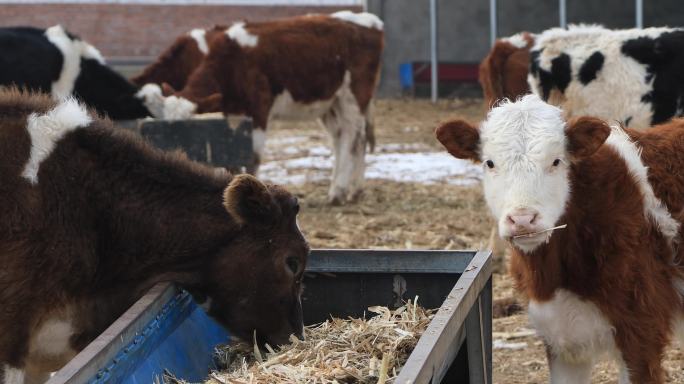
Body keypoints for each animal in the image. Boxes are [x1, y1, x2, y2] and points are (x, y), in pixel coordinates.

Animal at [158, 11, 388, 204]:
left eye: (189, 124)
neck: (233, 60)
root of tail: (370, 20)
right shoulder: (233, 112)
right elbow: (233, 158)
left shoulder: (259, 107)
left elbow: (253, 157)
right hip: (331, 103)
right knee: (346, 139)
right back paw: (353, 190)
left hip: (354, 97)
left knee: (352, 139)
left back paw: (338, 192)